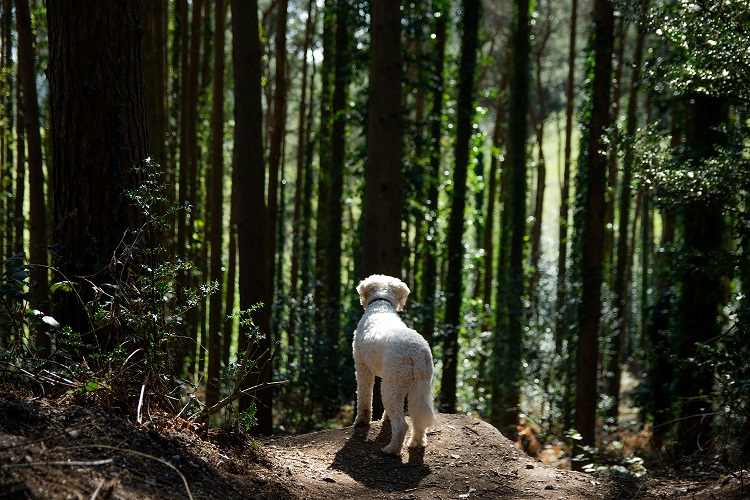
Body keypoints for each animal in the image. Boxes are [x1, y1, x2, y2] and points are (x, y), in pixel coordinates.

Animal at [354, 276, 438, 456]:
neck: (381, 305)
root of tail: (416, 352)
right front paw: (386, 418)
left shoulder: (363, 367)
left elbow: (364, 396)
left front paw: (361, 421)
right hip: (416, 386)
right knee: (417, 418)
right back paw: (416, 443)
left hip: (392, 385)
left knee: (402, 424)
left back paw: (391, 449)